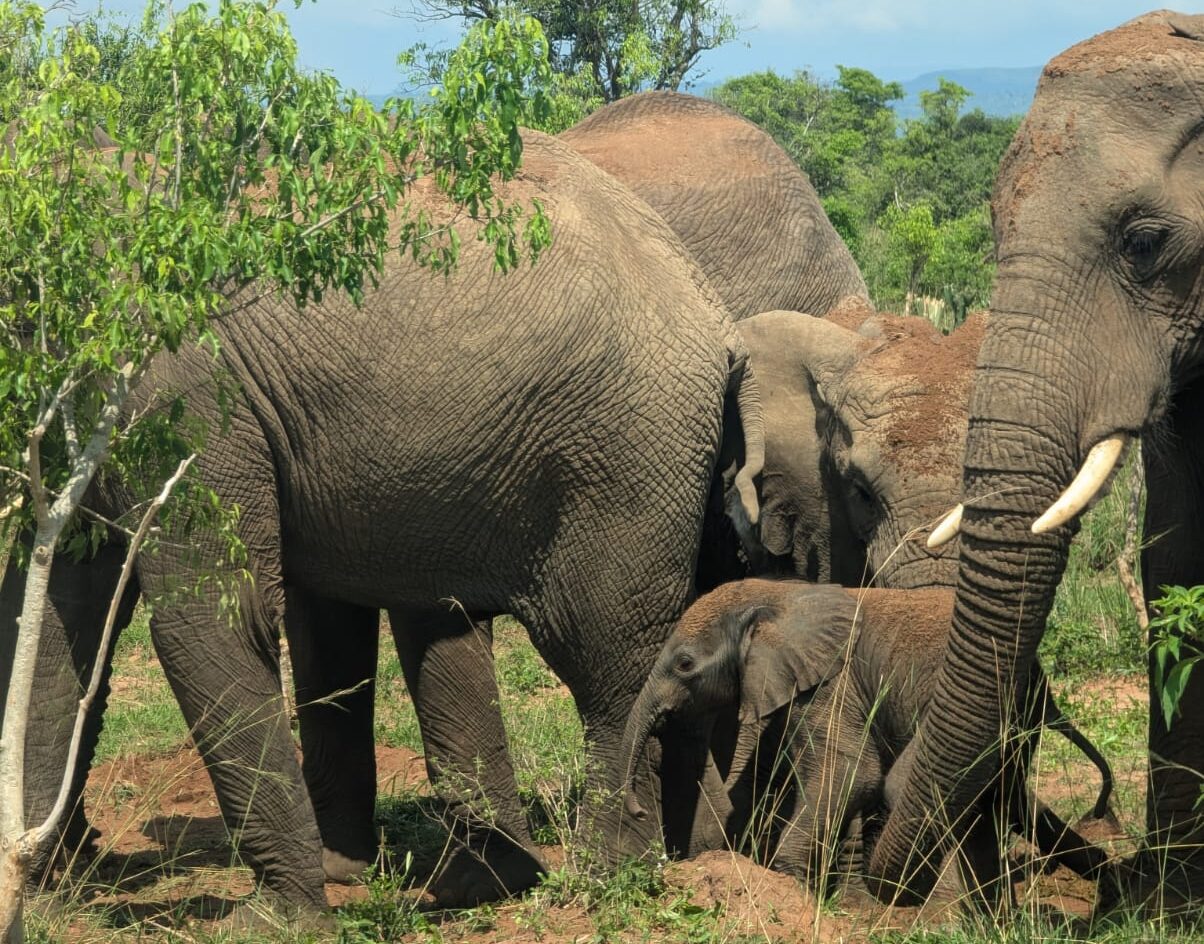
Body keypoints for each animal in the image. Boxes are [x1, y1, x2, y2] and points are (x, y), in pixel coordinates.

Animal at [0, 129, 766, 913]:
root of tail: (718, 321)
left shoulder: (182, 391)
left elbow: (214, 614)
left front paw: (281, 917)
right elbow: (59, 607)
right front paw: (47, 892)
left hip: (624, 457)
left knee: (609, 659)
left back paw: (604, 875)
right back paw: (668, 857)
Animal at [620, 579, 1115, 910]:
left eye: (685, 664)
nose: (639, 810)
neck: (777, 595)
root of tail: (1043, 681)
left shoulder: (830, 684)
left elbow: (852, 773)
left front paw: (792, 886)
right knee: (1004, 802)